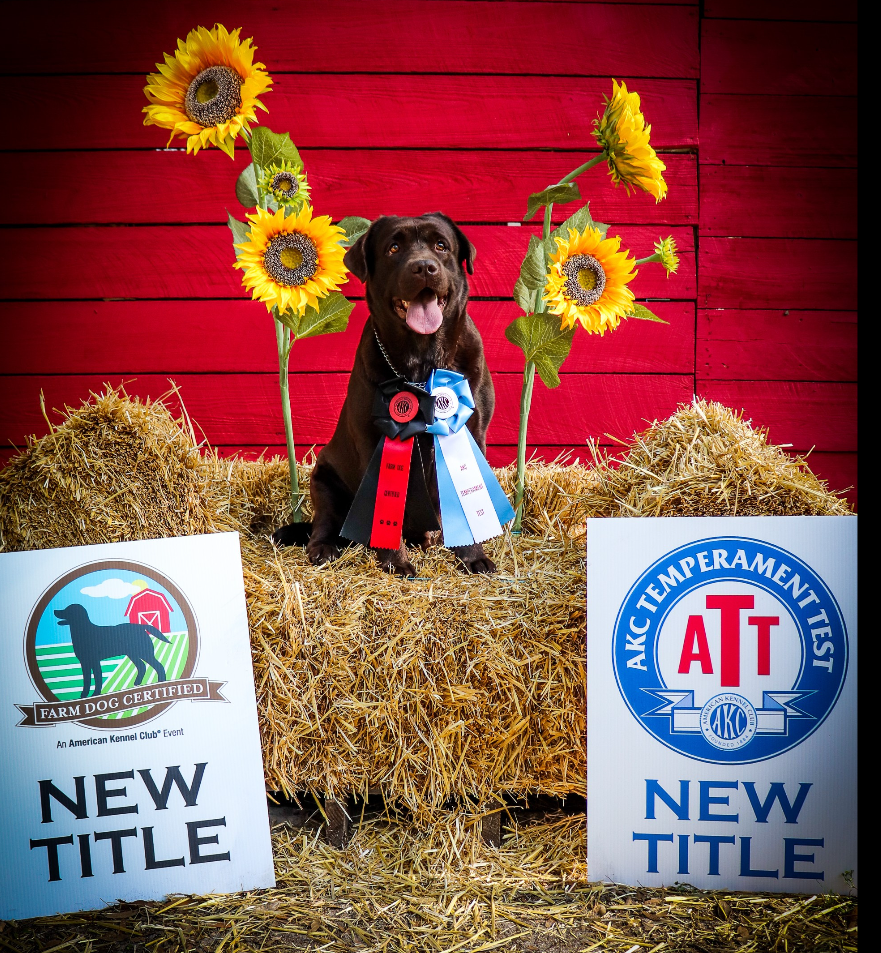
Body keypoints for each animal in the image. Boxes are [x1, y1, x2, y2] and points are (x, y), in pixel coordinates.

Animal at [272, 214, 498, 572]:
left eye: (441, 245)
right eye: (393, 248)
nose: (424, 267)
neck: (422, 360)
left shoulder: (472, 432)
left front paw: (473, 556)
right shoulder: (373, 439)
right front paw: (394, 562)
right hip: (325, 479)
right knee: (324, 523)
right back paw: (323, 548)